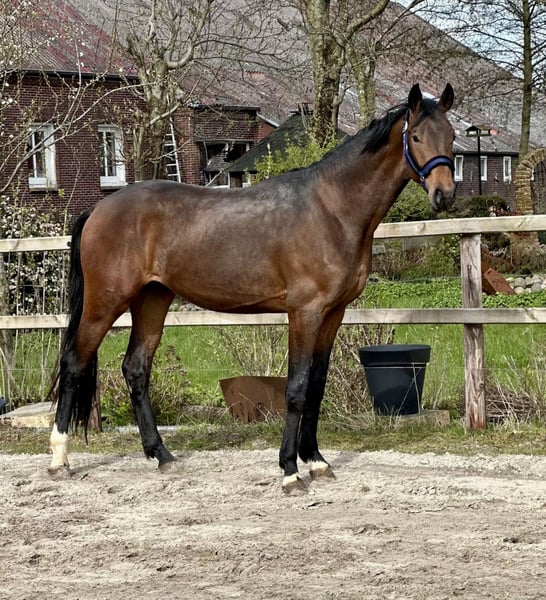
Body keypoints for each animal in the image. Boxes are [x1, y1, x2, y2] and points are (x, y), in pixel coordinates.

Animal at [48, 83, 456, 493]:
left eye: (452, 137)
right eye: (416, 137)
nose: (444, 194)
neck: (331, 208)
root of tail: (98, 210)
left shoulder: (333, 314)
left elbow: (317, 386)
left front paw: (317, 461)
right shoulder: (304, 312)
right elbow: (297, 388)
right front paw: (290, 470)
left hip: (153, 299)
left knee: (135, 368)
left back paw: (162, 455)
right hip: (105, 303)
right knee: (74, 363)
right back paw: (59, 460)